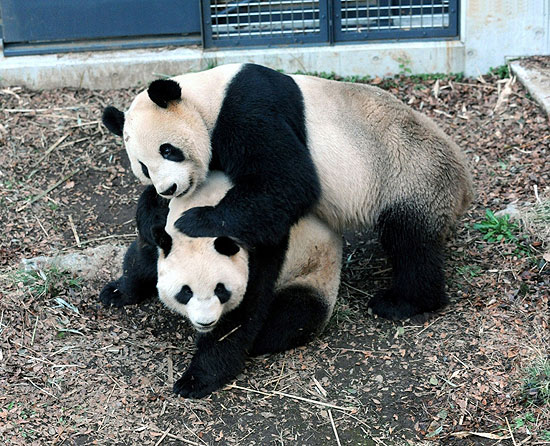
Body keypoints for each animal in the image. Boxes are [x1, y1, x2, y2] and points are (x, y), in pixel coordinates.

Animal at [98, 171, 340, 398]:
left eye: (220, 289)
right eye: (185, 292)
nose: (205, 322)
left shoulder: (262, 250)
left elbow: (239, 319)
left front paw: (194, 381)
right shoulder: (164, 231)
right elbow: (143, 257)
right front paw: (116, 292)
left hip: (313, 275)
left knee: (295, 315)